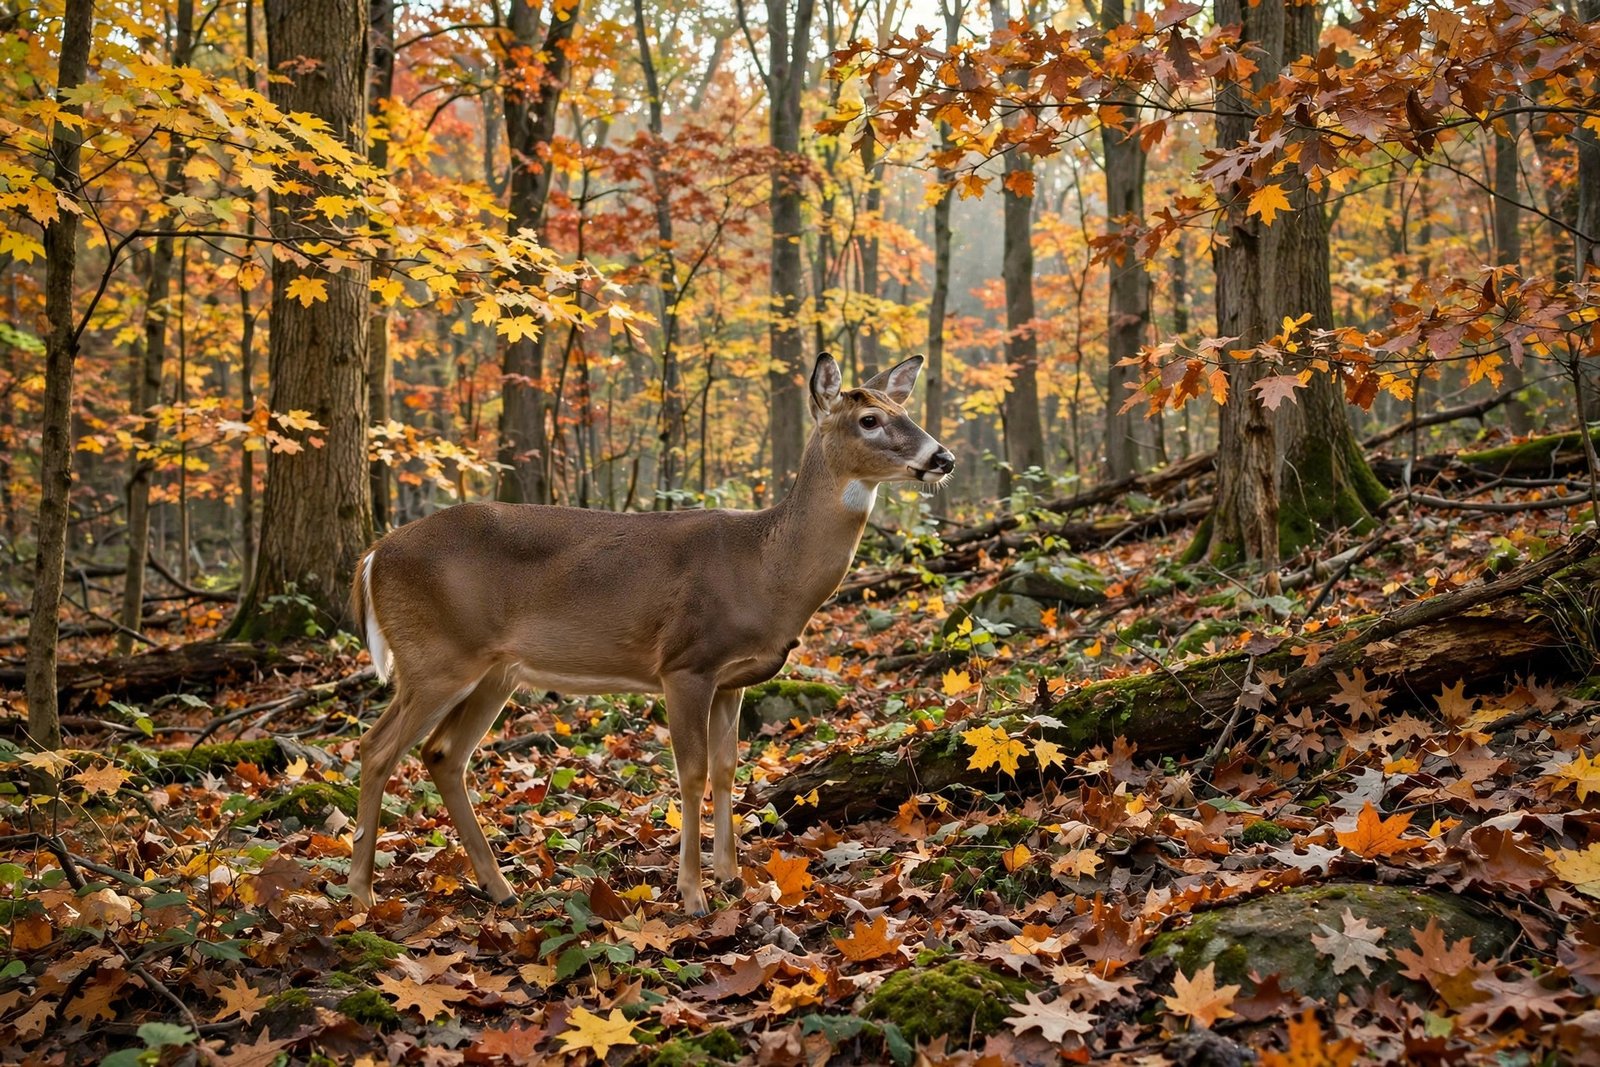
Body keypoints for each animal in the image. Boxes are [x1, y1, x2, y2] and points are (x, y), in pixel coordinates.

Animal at [347, 353, 953, 915]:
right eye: (870, 420)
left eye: (905, 411)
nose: (941, 457)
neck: (765, 569)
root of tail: (373, 555)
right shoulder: (685, 664)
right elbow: (692, 773)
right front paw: (693, 894)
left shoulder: (732, 680)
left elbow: (729, 769)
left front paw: (732, 878)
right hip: (435, 657)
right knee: (376, 748)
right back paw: (361, 895)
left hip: (493, 671)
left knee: (443, 754)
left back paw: (501, 889)